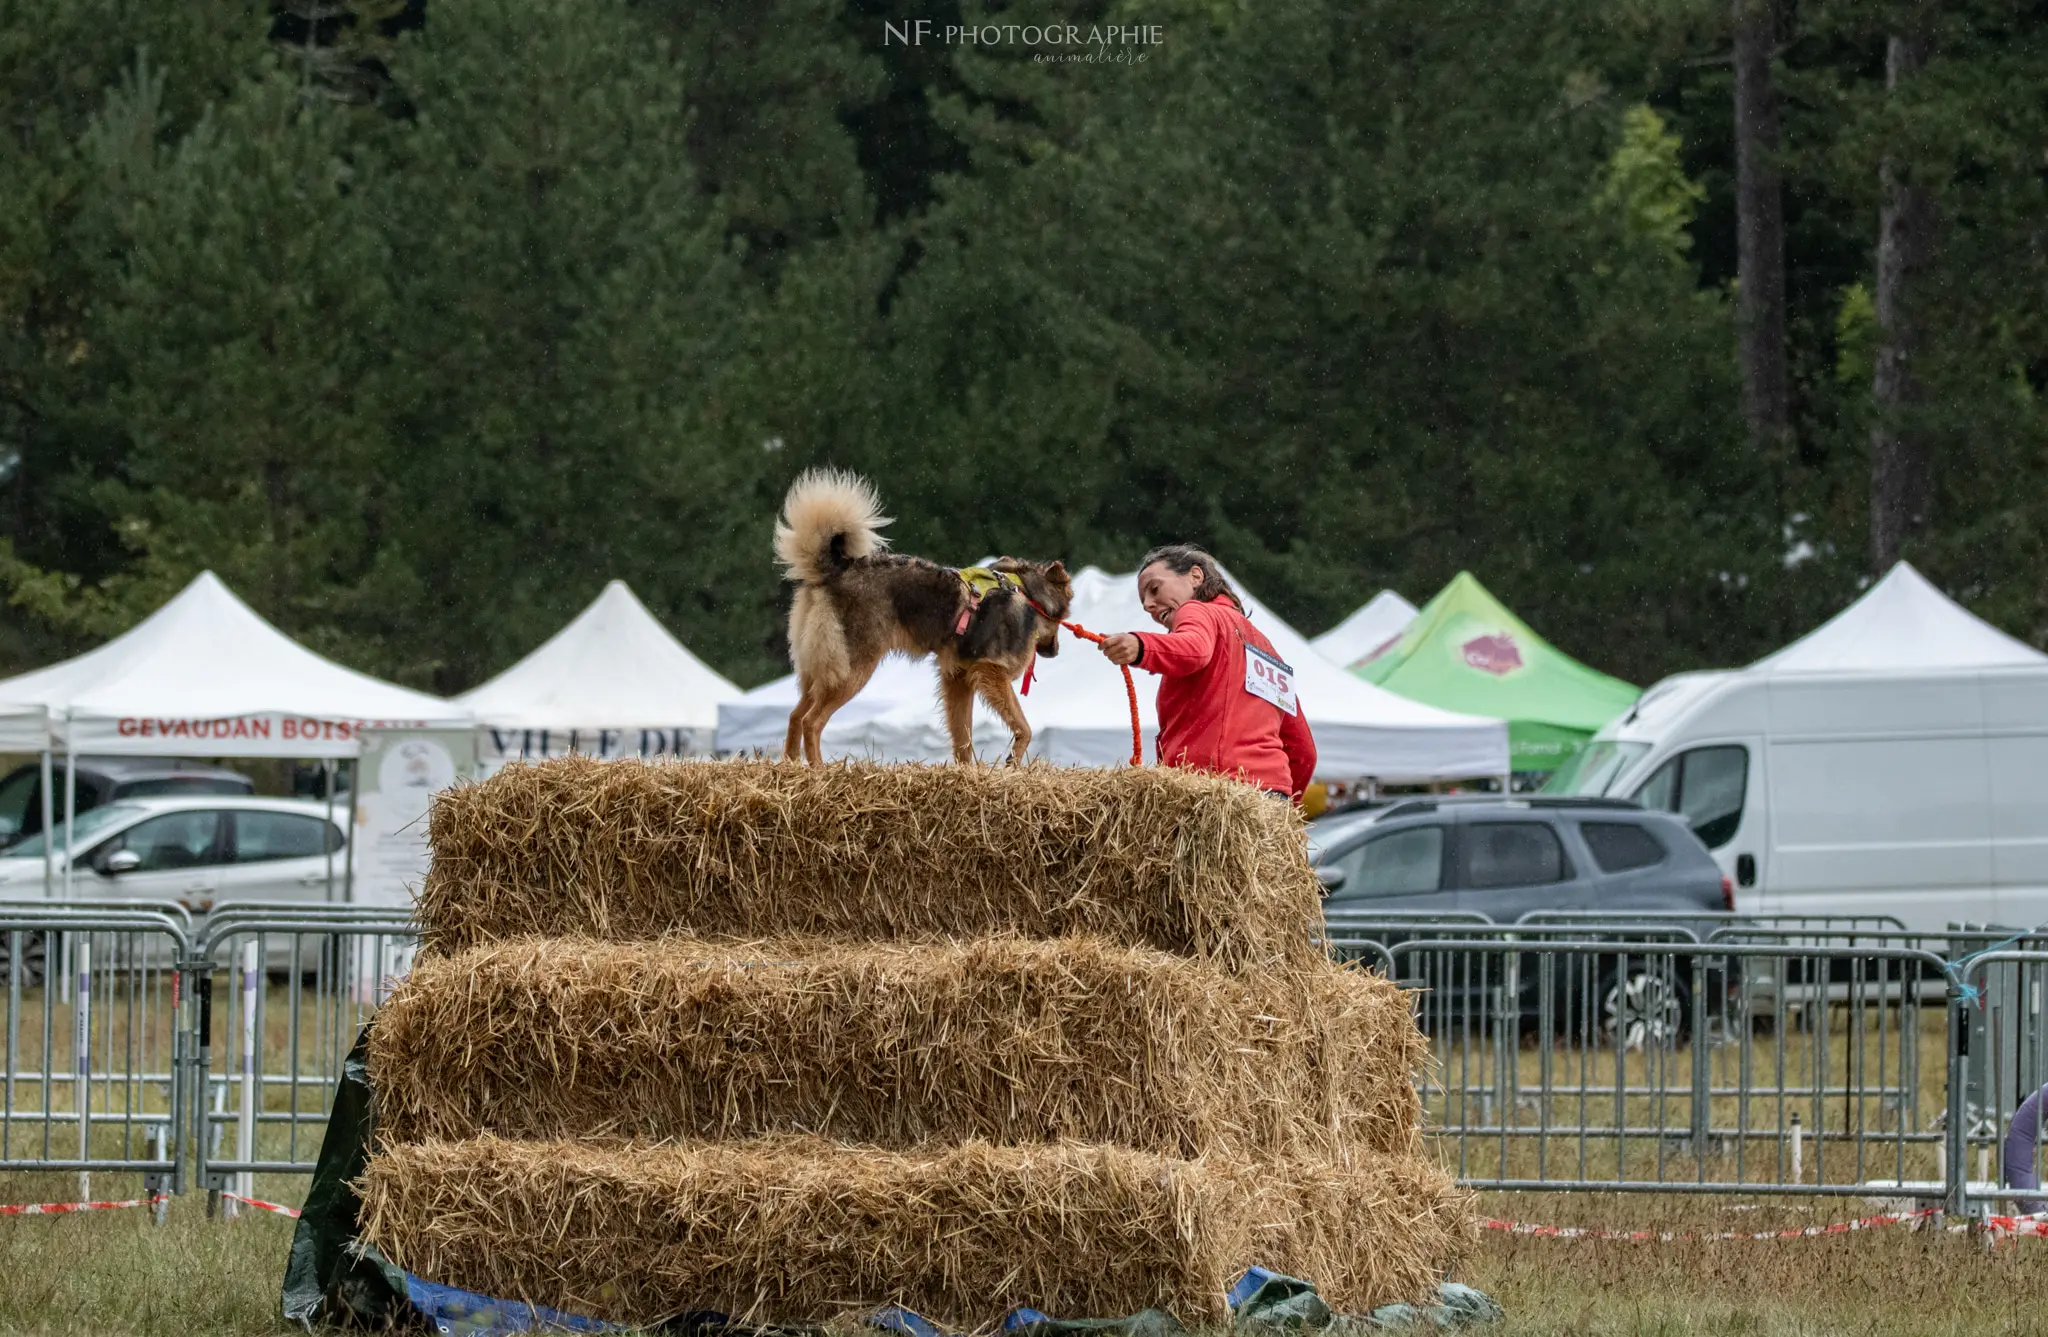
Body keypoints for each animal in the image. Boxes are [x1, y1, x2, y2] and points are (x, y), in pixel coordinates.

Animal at [774, 466, 1081, 761]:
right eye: (1063, 618)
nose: (1054, 651)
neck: (1026, 594)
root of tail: (834, 570)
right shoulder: (990, 672)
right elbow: (1023, 727)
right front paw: (1012, 760)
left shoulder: (957, 678)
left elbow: (963, 737)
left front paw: (968, 771)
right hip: (851, 670)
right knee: (811, 722)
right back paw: (818, 768)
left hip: (819, 669)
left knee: (795, 716)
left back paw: (792, 765)